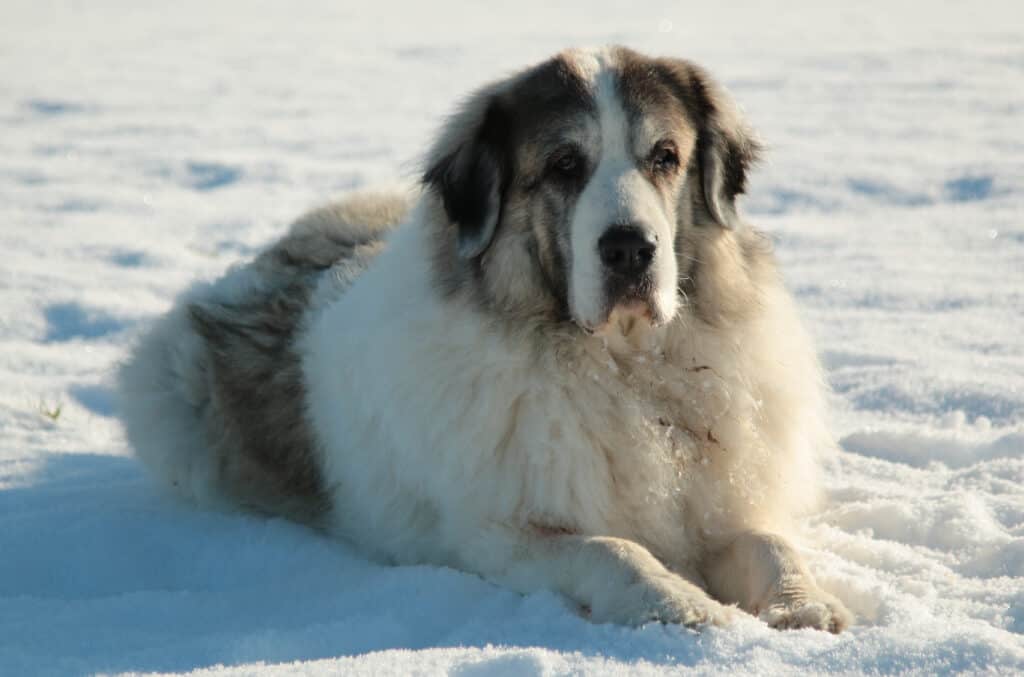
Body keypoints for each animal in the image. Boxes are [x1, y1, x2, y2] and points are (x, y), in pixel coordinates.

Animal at [117, 47, 856, 635]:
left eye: (665, 158)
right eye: (564, 165)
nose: (629, 249)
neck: (622, 369)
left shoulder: (725, 500)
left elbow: (770, 543)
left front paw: (805, 604)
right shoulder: (498, 534)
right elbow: (612, 549)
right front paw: (680, 603)